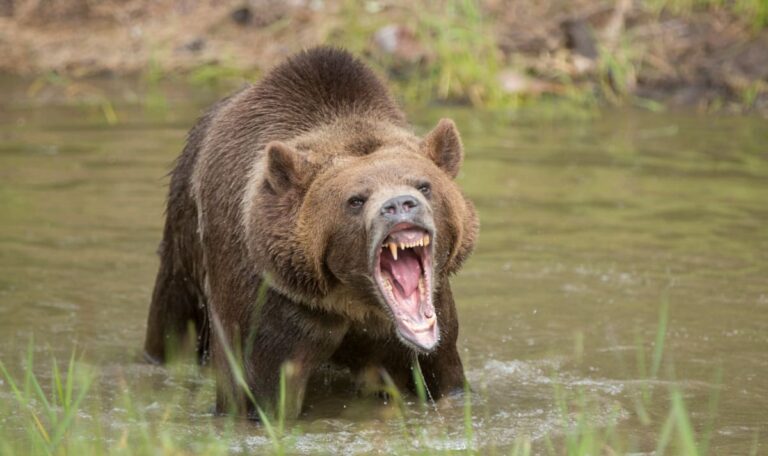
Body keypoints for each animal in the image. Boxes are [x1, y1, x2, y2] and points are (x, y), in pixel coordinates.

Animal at [143, 46, 479, 418]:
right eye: (356, 199)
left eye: (424, 185)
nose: (400, 205)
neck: (354, 300)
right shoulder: (274, 306)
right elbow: (259, 392)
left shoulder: (431, 323)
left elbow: (443, 375)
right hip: (184, 240)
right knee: (173, 319)